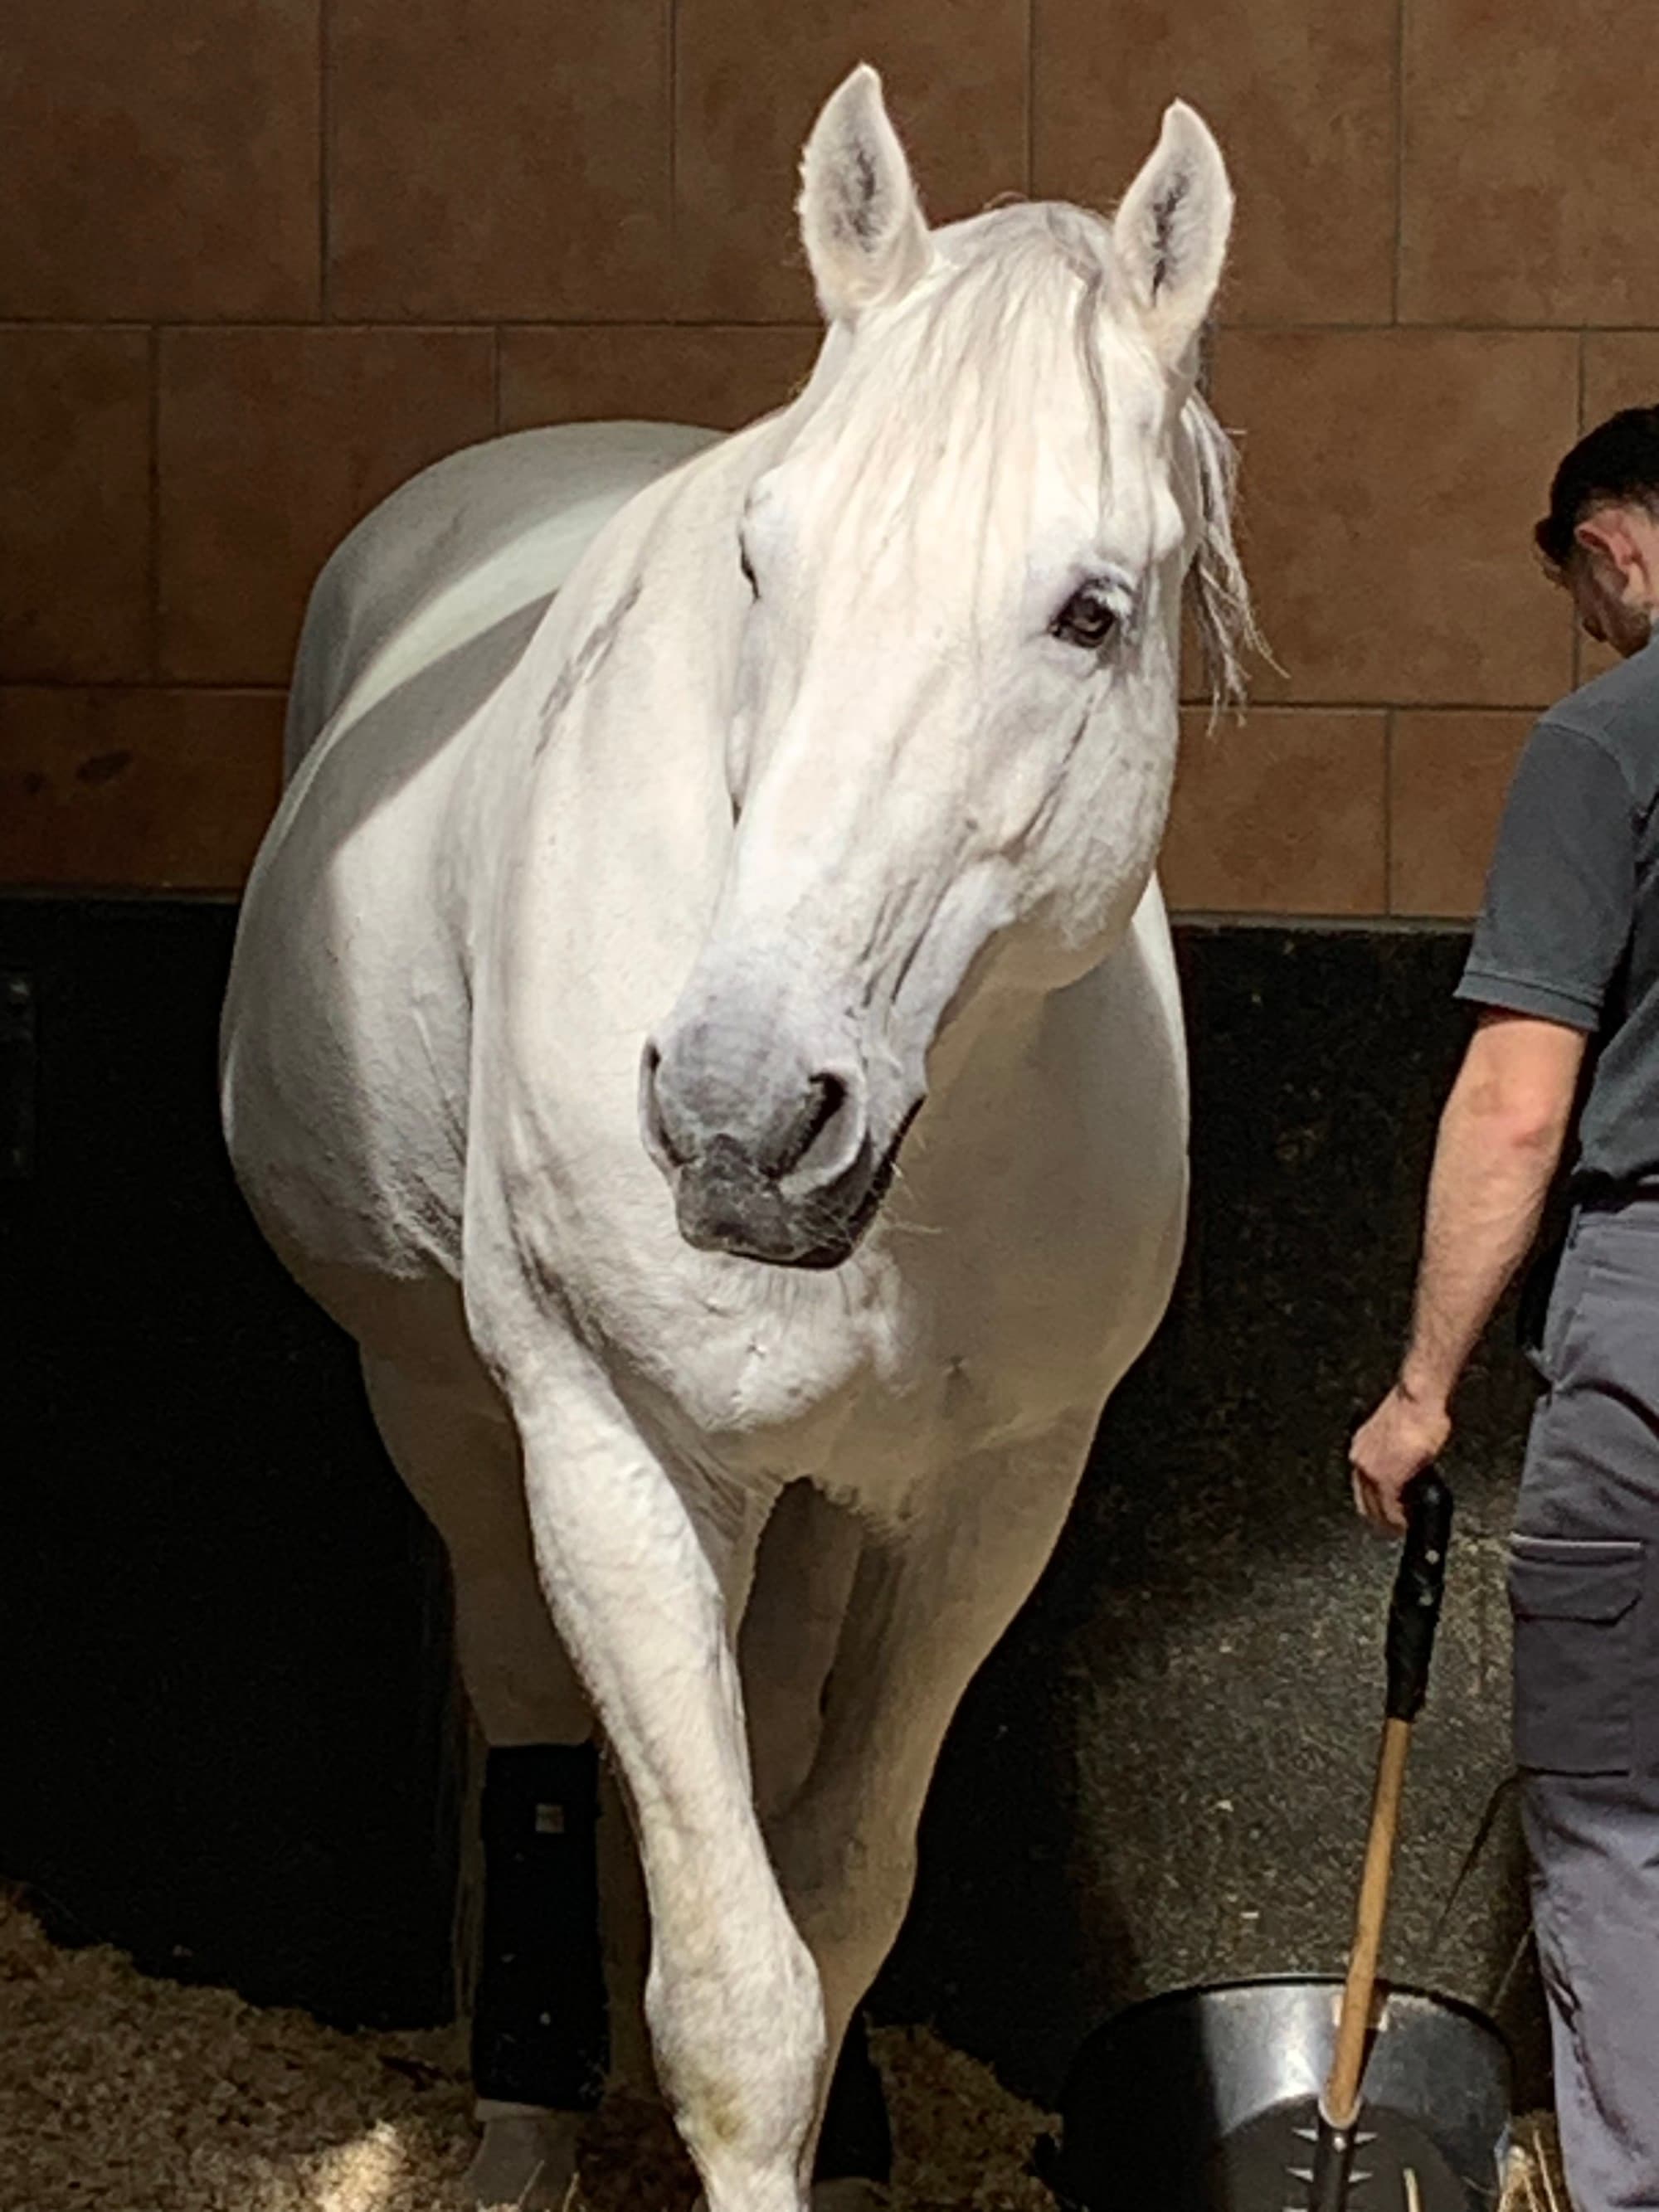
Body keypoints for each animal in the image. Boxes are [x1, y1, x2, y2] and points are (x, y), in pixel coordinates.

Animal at [220, 64, 1252, 2212]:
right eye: (767, 567)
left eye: (1089, 610)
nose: (735, 1112)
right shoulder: (612, 1458)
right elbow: (730, 1999)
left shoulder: (989, 1498)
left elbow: (832, 1898)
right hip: (450, 1416)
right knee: (537, 1728)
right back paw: (524, 2114)